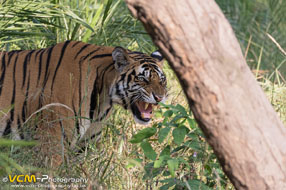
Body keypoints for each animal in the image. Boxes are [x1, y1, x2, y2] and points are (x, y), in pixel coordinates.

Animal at [0, 40, 168, 162]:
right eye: (143, 79)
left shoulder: (86, 145)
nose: (160, 97)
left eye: (162, 80)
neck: (103, 98)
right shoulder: (51, 144)